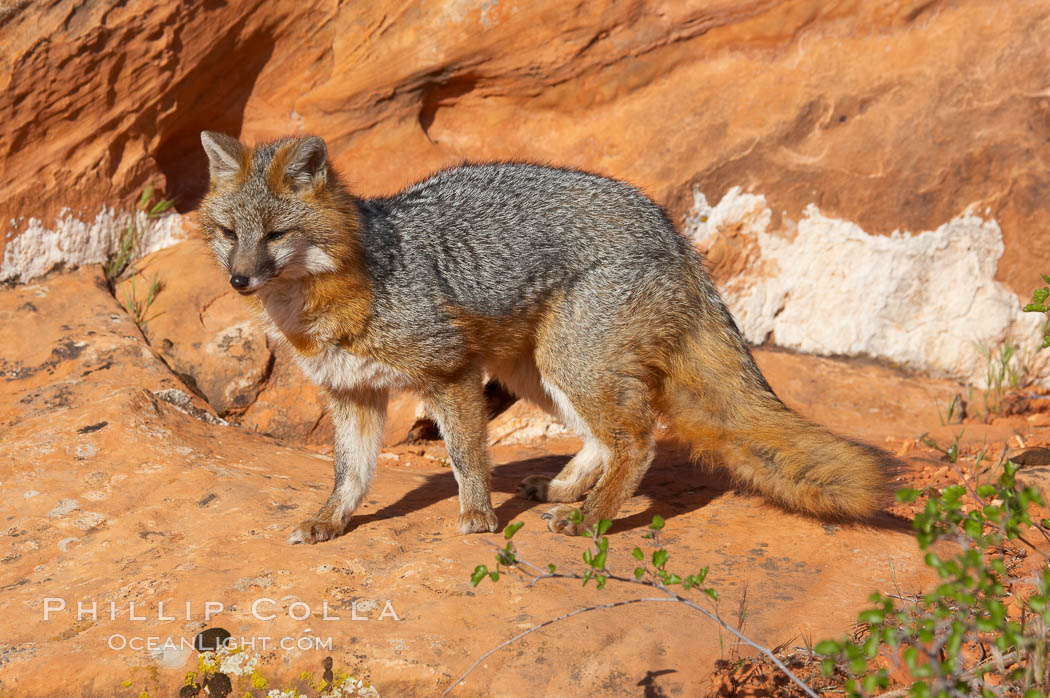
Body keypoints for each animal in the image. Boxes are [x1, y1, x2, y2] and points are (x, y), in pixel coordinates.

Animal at [198, 132, 894, 545]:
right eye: (230, 232)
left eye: (277, 235)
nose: (237, 280)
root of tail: (668, 225)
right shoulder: (351, 394)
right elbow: (350, 474)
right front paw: (329, 521)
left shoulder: (450, 374)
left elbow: (467, 458)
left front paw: (478, 517)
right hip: (534, 371)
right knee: (602, 437)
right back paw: (563, 490)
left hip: (567, 363)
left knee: (636, 439)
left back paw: (590, 516)